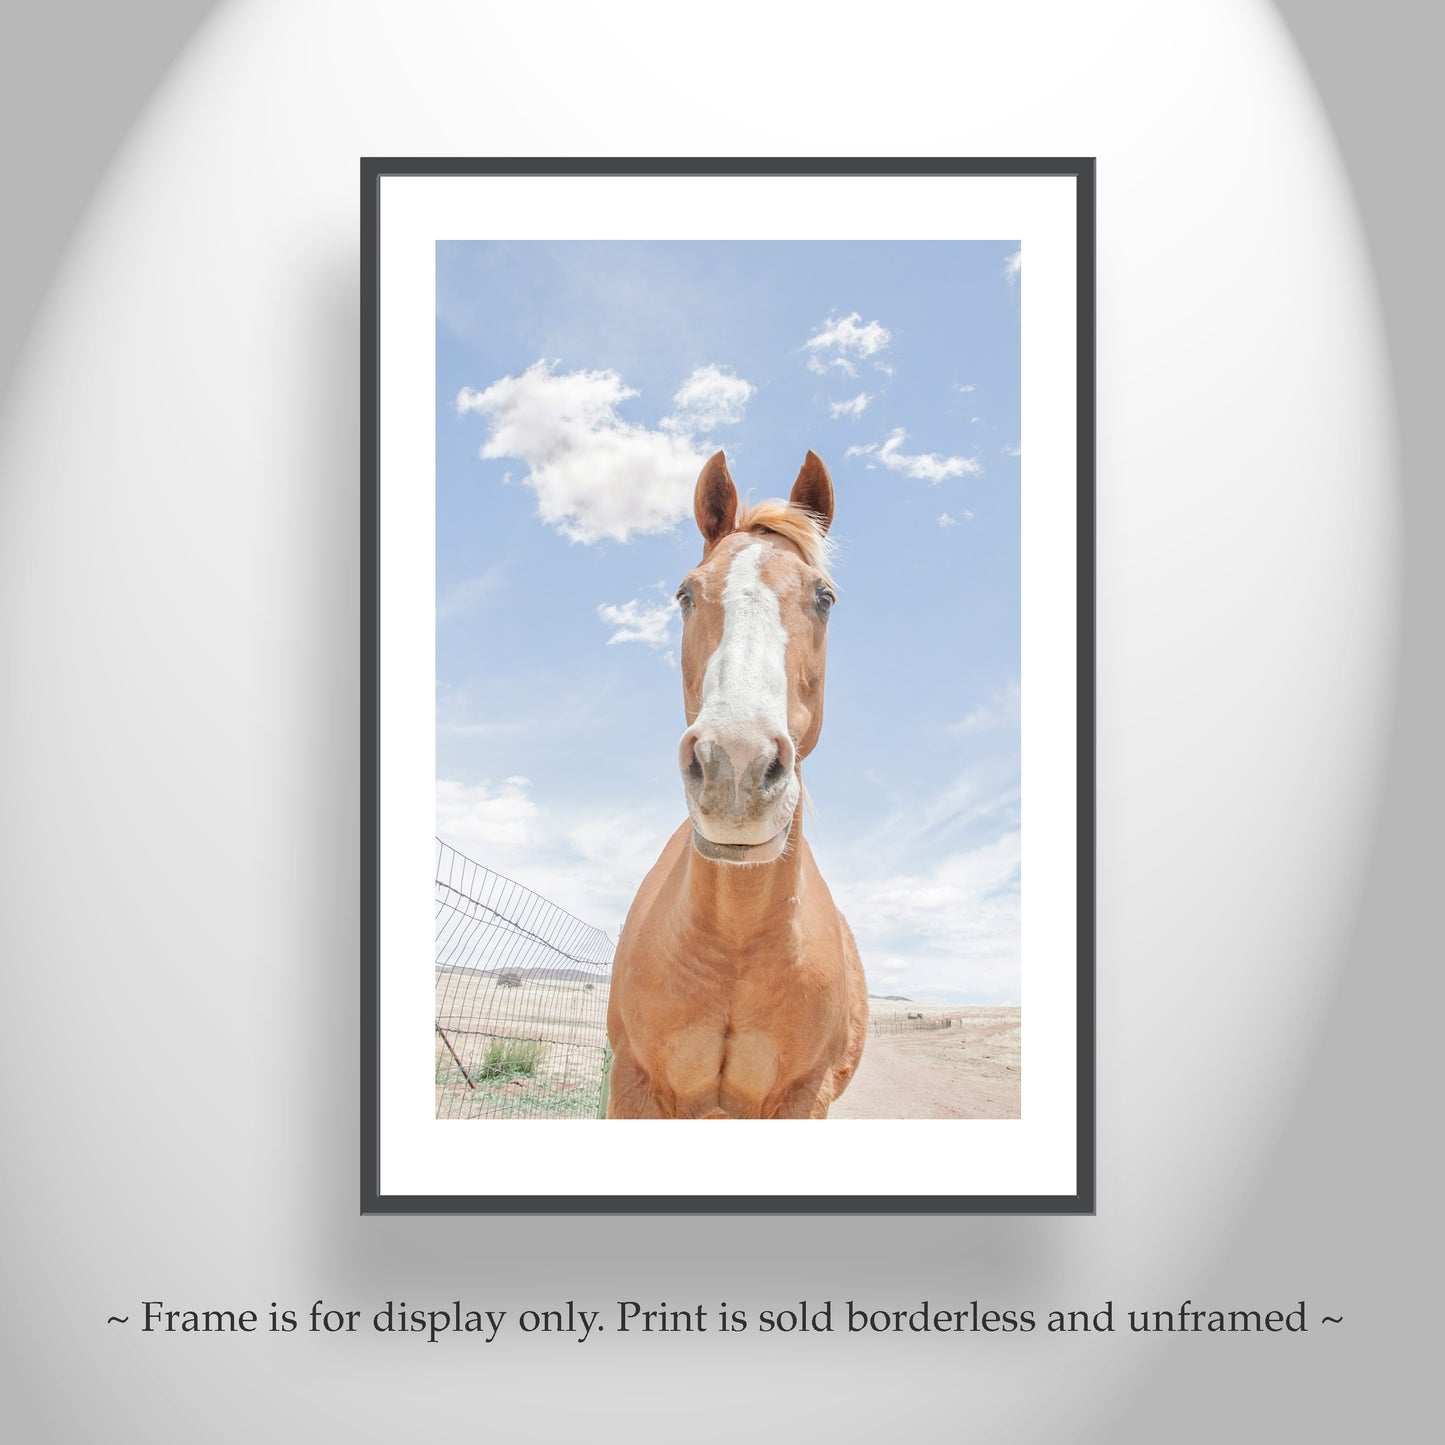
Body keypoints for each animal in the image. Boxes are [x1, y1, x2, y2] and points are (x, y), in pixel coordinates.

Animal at [606, 449, 868, 1118]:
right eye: (685, 594)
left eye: (825, 597)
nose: (735, 765)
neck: (736, 946)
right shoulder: (634, 1085)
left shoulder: (803, 1098)